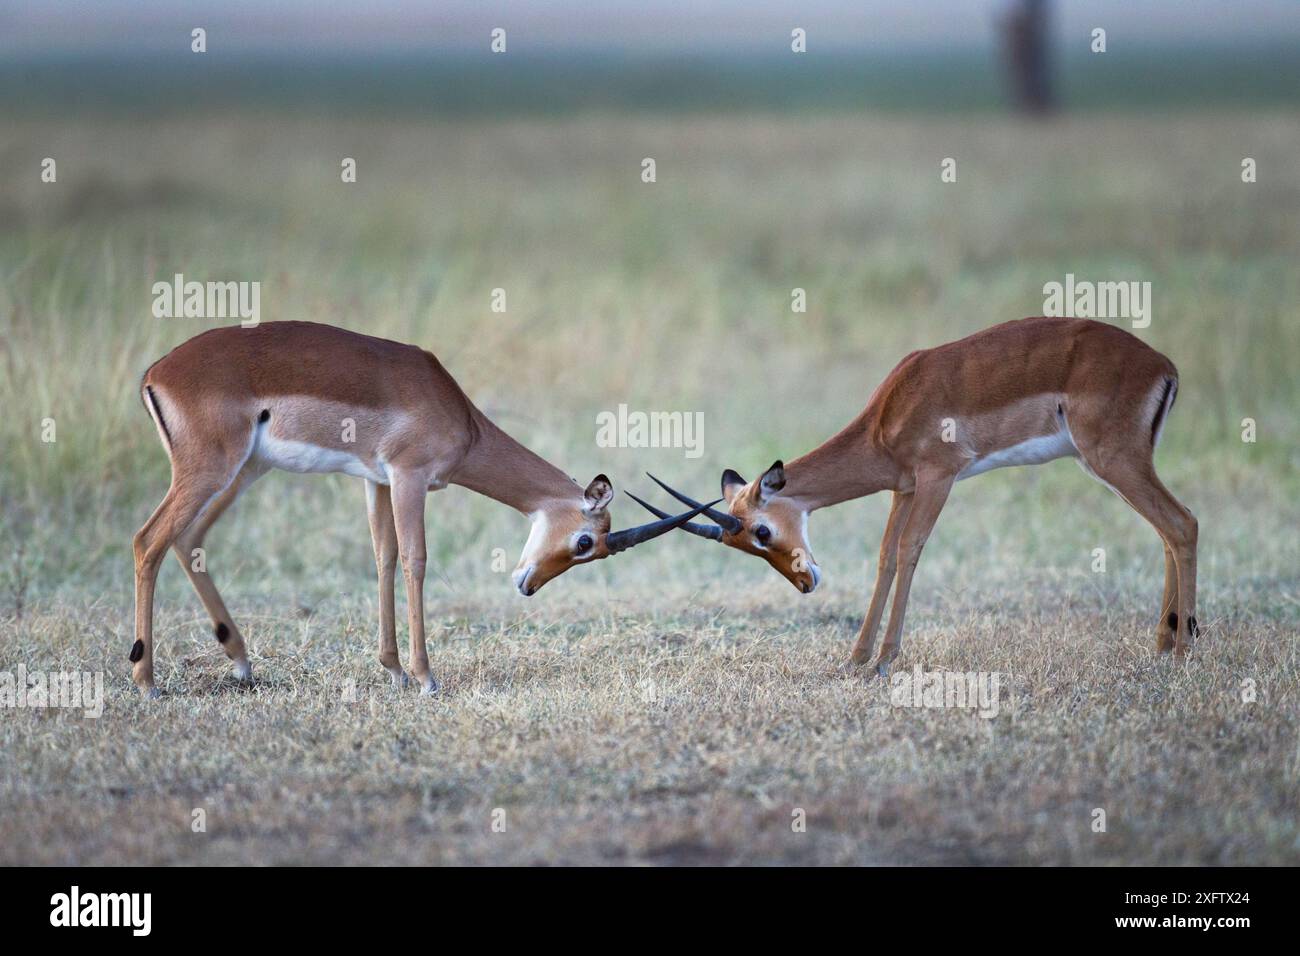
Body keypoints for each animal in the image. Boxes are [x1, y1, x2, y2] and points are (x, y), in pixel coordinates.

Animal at [132, 321, 715, 698]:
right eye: (585, 542)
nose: (526, 586)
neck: (459, 415)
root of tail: (156, 373)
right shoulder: (409, 477)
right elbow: (415, 561)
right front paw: (426, 677)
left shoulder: (376, 481)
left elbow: (384, 558)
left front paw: (392, 670)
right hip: (214, 470)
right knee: (148, 541)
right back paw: (146, 681)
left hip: (243, 471)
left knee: (187, 541)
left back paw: (242, 663)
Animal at [635, 317, 1199, 674]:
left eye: (762, 530)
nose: (805, 583)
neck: (890, 411)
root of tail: (1164, 365)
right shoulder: (902, 488)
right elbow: (885, 556)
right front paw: (856, 658)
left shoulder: (937, 476)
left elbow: (909, 551)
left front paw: (884, 660)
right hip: (1115, 464)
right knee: (1167, 533)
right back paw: (1163, 643)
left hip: (1113, 460)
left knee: (1183, 523)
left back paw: (1183, 653)